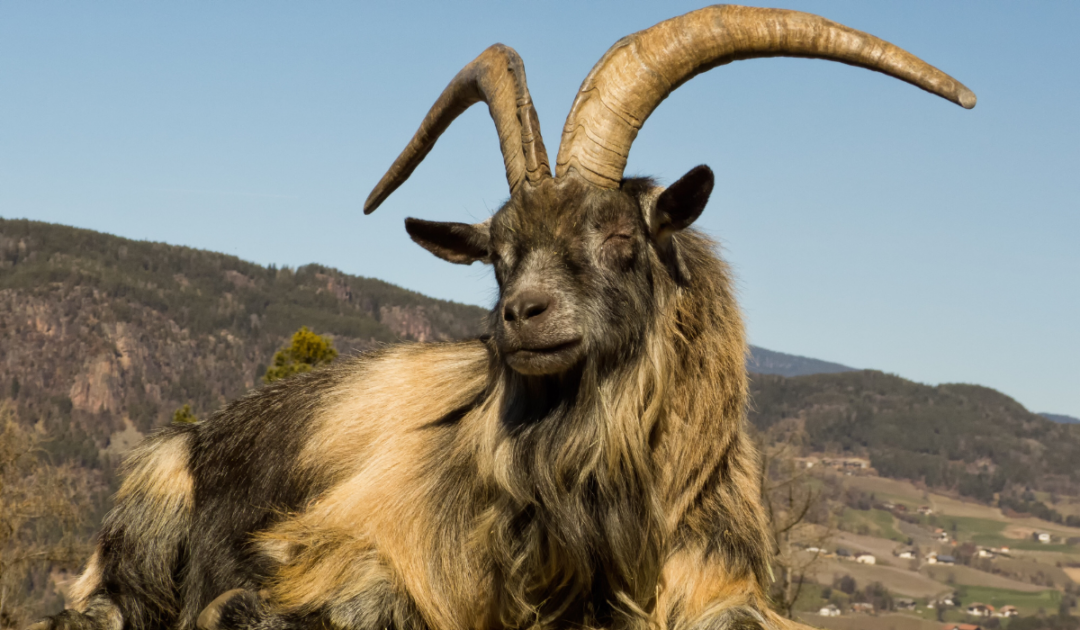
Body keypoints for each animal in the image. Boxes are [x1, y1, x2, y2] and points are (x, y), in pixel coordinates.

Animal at [34, 6, 974, 630]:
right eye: (498, 253)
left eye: (621, 237)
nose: (521, 317)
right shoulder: (347, 547)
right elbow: (348, 598)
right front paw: (240, 604)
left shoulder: (720, 584)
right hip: (156, 494)